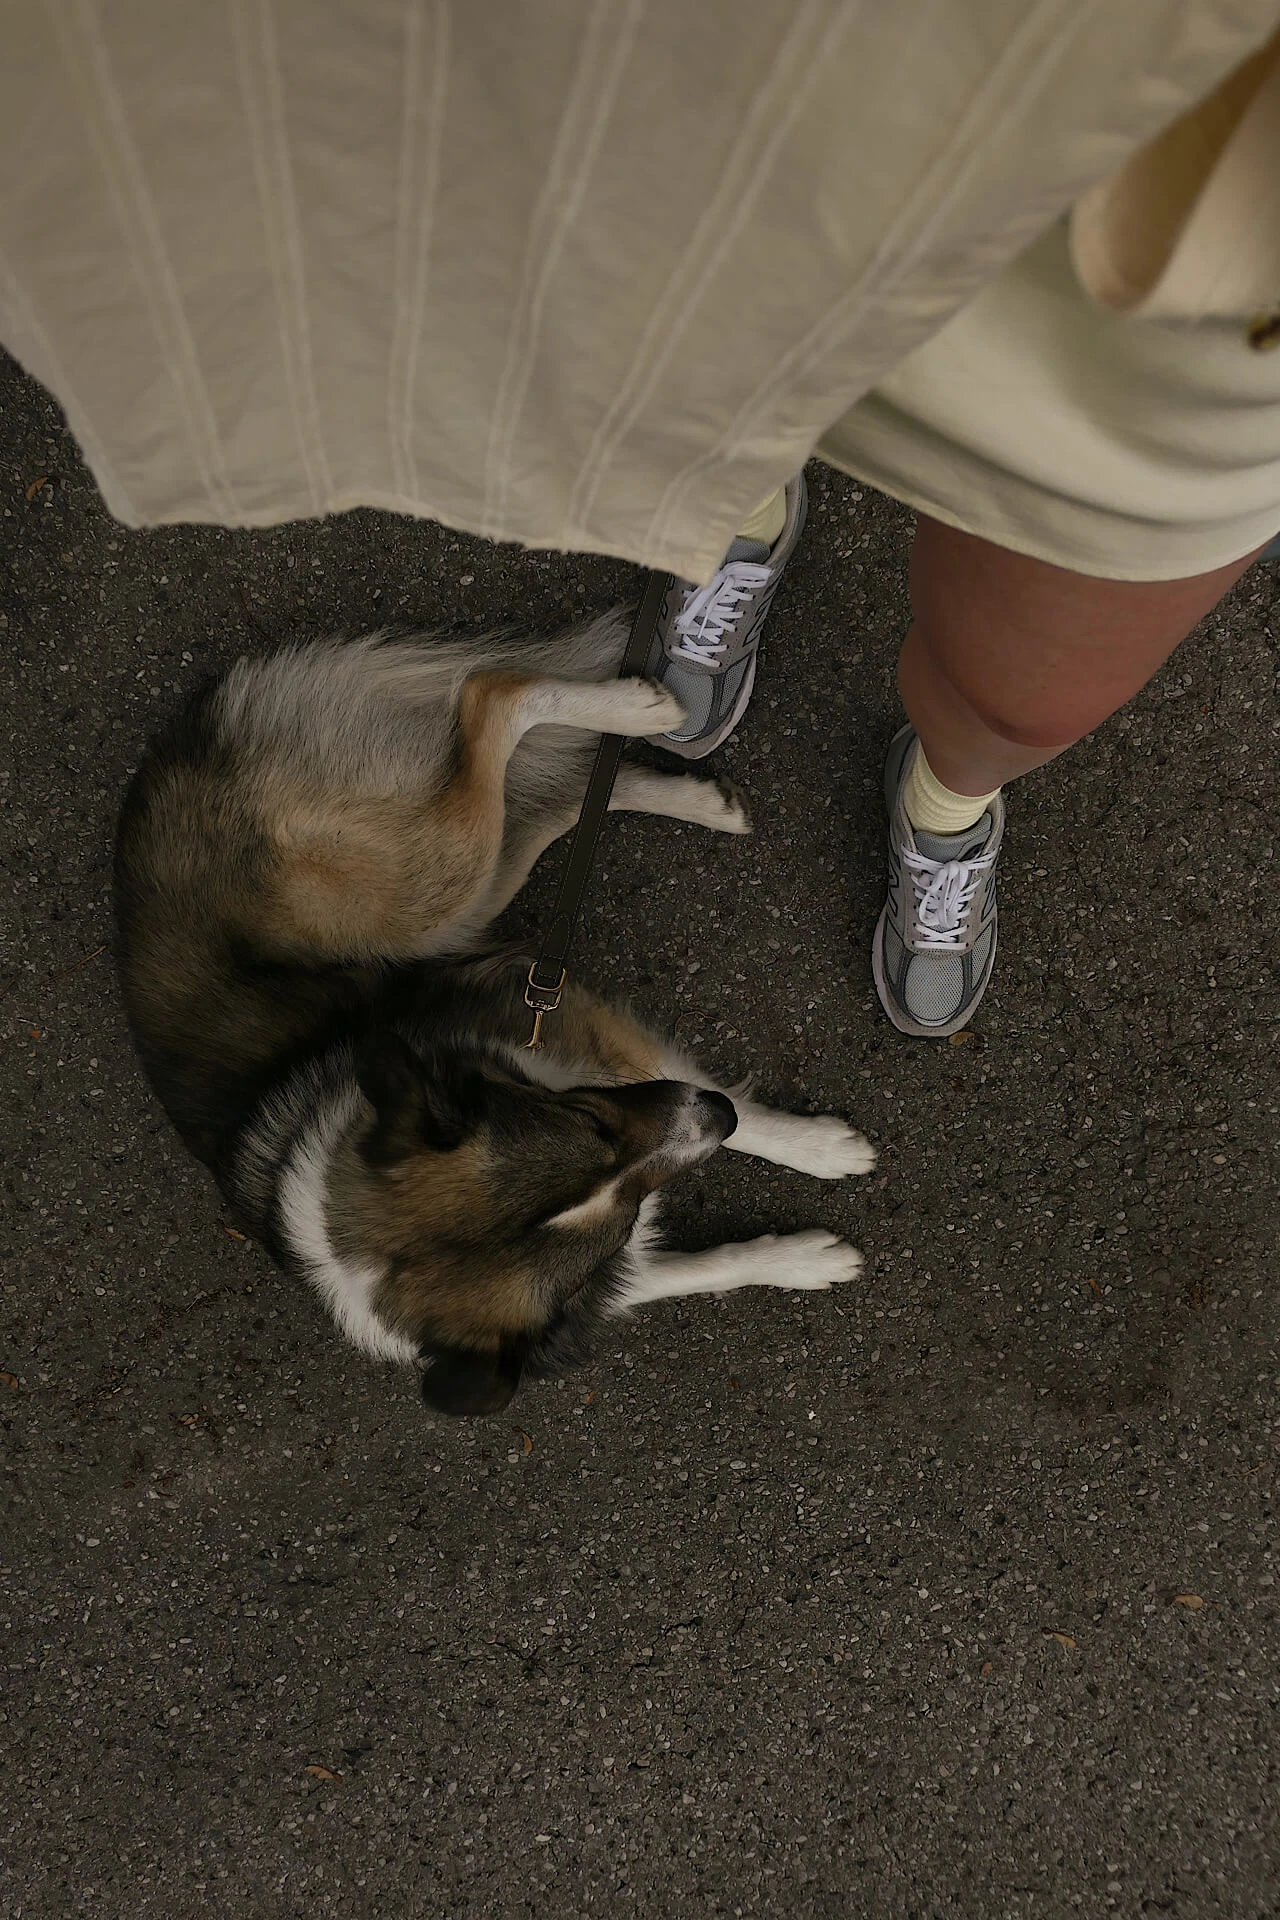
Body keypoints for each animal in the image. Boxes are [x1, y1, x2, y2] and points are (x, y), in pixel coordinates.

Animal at [115, 614, 875, 1413]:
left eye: (590, 1121)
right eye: (617, 1223)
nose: (714, 1116)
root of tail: (173, 766)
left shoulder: (566, 1026)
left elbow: (740, 1117)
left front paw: (820, 1148)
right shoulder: (586, 1277)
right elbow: (705, 1266)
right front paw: (808, 1254)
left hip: (434, 891)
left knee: (490, 698)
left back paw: (642, 713)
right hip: (460, 902)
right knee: (548, 796)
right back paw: (693, 792)